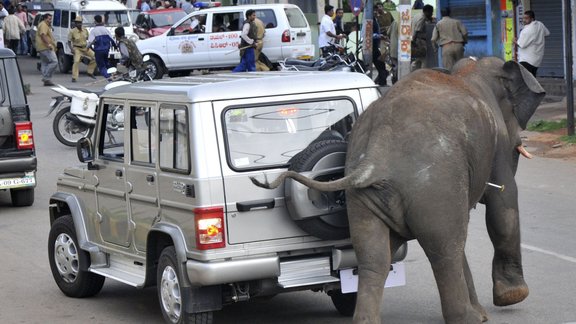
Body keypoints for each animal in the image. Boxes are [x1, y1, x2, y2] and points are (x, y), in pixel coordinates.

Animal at [252, 57, 544, 322]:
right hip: (433, 185)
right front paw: (513, 296)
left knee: (374, 258)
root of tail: (376, 155)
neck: (466, 71)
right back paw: (469, 319)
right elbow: (503, 201)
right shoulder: (496, 144)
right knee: (445, 249)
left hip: (367, 197)